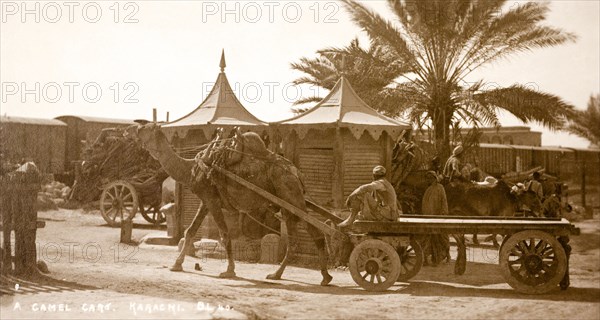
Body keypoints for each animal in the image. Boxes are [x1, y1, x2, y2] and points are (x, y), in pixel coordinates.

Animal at [136, 124, 332, 284]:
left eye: (147, 128)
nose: (135, 128)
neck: (191, 169)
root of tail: (296, 173)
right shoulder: (206, 200)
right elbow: (190, 231)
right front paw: (176, 265)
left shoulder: (212, 199)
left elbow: (224, 234)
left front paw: (229, 271)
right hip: (287, 204)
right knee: (296, 238)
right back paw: (281, 275)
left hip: (291, 195)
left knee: (314, 231)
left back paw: (323, 276)